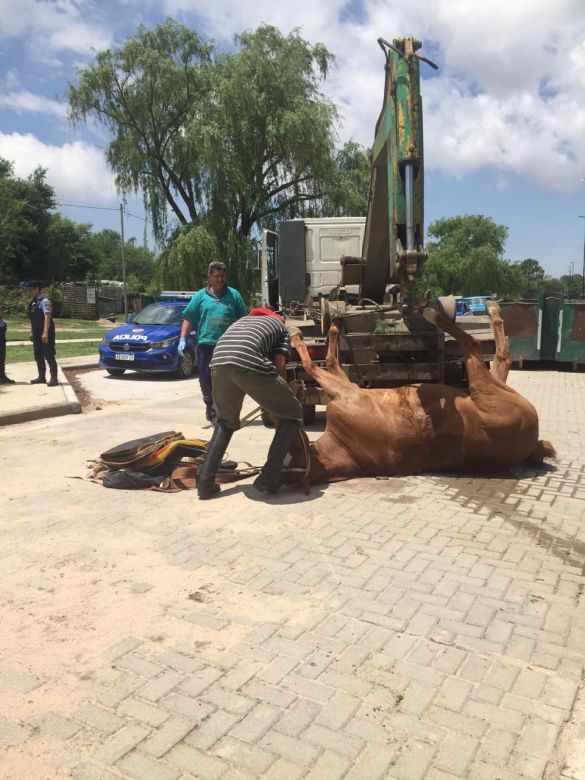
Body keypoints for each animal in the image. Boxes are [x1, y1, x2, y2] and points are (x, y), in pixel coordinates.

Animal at [286, 300, 556, 488]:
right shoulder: (343, 389)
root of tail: (533, 442)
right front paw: (304, 333)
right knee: (487, 351)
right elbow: (319, 362)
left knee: (490, 352)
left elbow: (325, 361)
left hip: (487, 384)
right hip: (485, 387)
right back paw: (472, 310)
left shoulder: (344, 385)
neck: (344, 445)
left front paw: (327, 326)